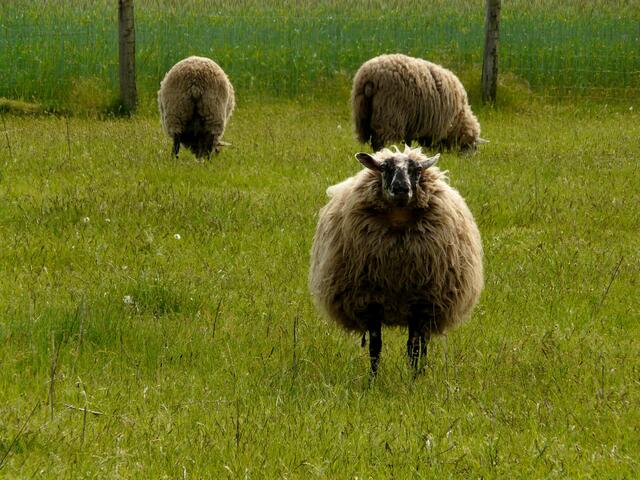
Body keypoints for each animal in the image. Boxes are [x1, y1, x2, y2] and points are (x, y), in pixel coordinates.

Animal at [309, 145, 483, 376]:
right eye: (384, 167)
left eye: (417, 169)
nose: (401, 188)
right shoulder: (370, 300)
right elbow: (375, 348)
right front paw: (372, 380)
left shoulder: (421, 301)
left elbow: (414, 348)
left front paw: (414, 379)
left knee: (422, 344)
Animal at [351, 53, 487, 153]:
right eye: (472, 146)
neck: (459, 117)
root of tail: (371, 76)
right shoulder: (436, 128)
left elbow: (409, 142)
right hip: (389, 114)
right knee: (382, 140)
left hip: (362, 113)